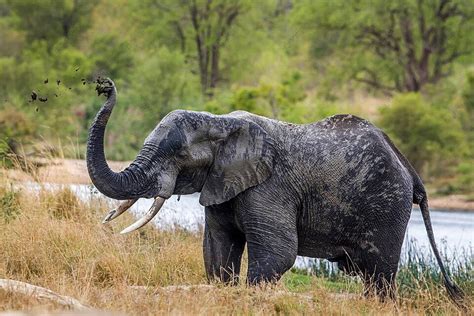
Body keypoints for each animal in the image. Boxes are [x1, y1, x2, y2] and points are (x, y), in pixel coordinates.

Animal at [87, 78, 464, 304]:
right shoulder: (223, 183)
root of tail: (409, 169)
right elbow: (217, 250)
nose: (105, 86)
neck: (219, 121)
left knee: (380, 274)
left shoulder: (270, 187)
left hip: (386, 205)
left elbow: (278, 253)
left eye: (179, 155)